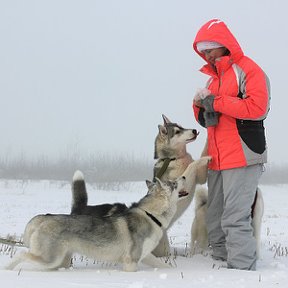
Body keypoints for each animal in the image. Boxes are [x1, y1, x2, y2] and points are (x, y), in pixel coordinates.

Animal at [6, 174, 188, 272]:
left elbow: (162, 265)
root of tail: (44, 217)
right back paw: (7, 269)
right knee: (21, 254)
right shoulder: (131, 261)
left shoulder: (145, 255)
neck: (151, 215)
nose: (184, 176)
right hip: (49, 258)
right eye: (174, 183)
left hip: (59, 260)